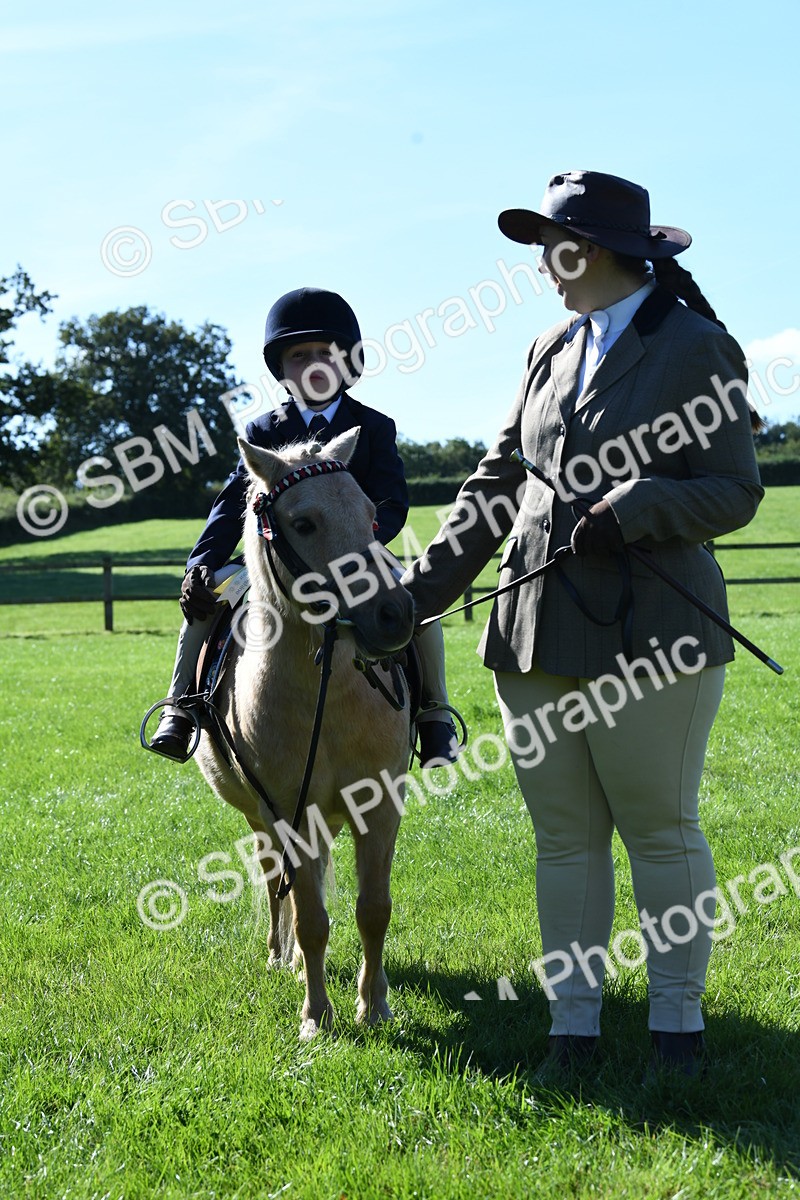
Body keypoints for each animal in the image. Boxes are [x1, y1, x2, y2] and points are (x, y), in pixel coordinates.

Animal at [194, 427, 415, 1039]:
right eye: (305, 522)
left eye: (371, 516)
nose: (394, 614)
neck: (331, 696)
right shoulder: (287, 814)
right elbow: (310, 917)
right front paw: (316, 1015)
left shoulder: (379, 805)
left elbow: (374, 909)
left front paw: (374, 1006)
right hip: (264, 819)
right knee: (280, 887)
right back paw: (281, 957)